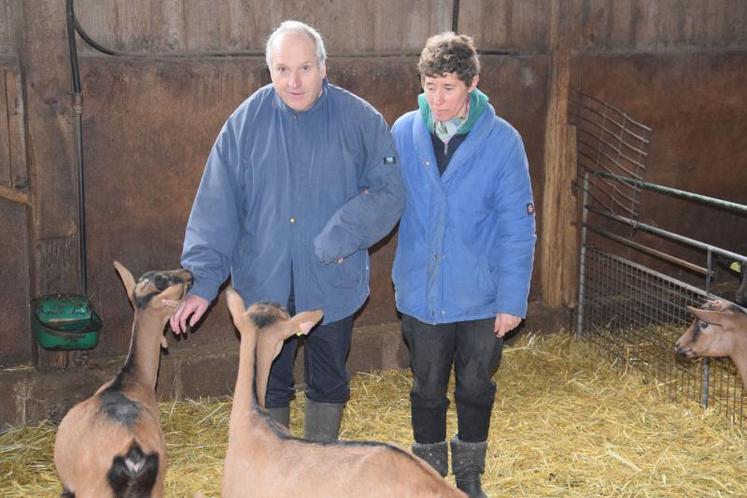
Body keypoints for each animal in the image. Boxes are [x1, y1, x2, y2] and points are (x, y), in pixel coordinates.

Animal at [53, 260, 193, 498]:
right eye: (164, 280)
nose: (189, 273)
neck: (132, 380)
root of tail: (132, 451)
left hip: (93, 490)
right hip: (153, 487)